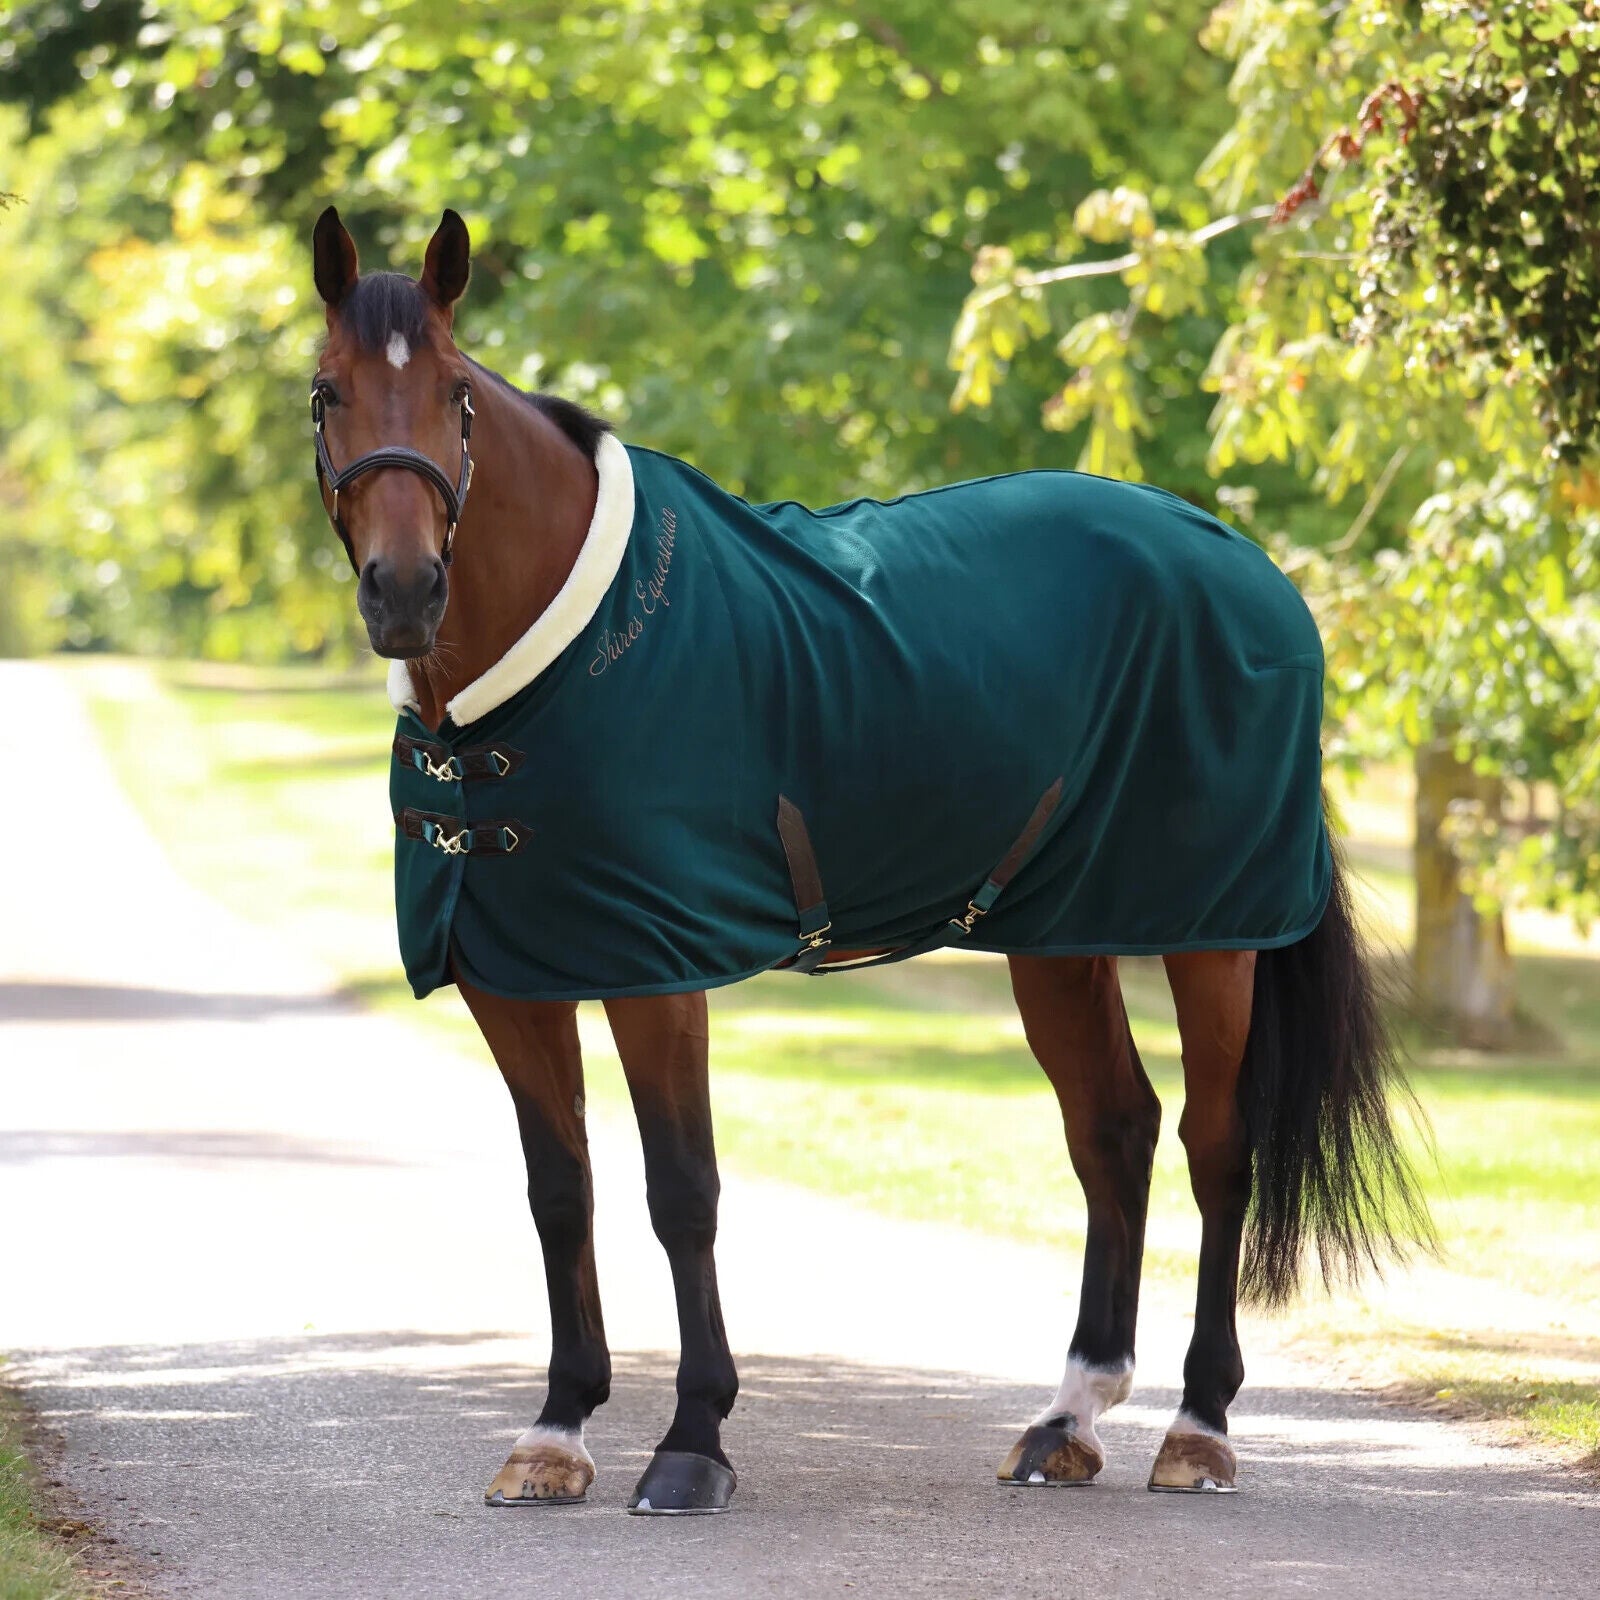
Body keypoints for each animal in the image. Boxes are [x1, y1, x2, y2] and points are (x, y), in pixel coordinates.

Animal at [306, 206, 1429, 1515]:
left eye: (456, 398)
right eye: (328, 393)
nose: (403, 592)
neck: (543, 672)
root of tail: (1246, 563)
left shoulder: (656, 972)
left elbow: (681, 1192)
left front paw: (693, 1440)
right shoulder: (512, 979)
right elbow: (560, 1191)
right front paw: (557, 1430)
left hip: (1214, 934)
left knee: (1216, 1145)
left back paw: (1197, 1428)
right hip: (1061, 936)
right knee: (1113, 1130)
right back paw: (1067, 1415)